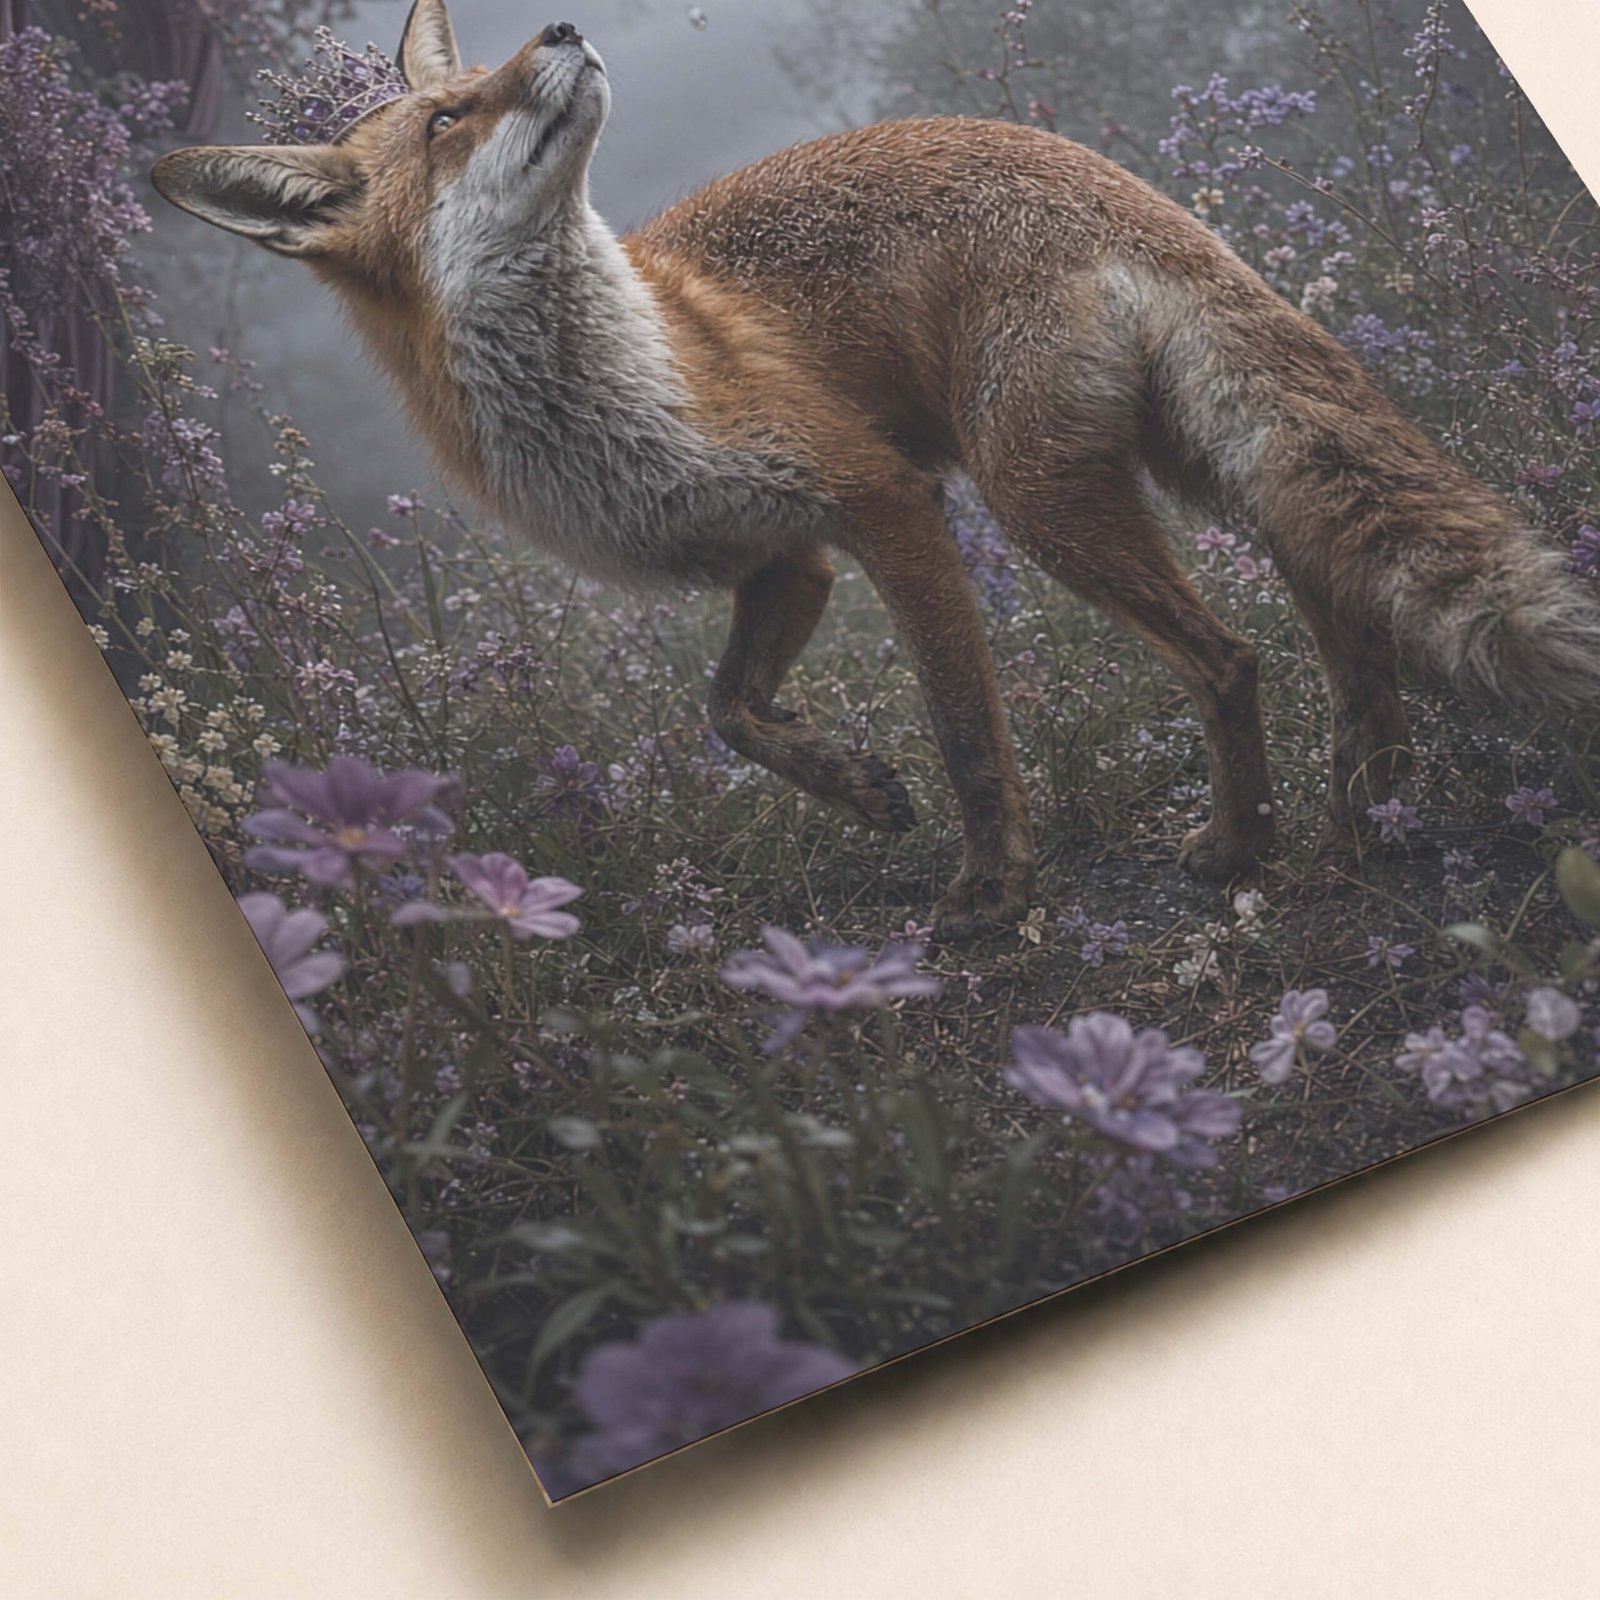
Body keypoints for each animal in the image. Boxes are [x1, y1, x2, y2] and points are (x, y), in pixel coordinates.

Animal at [152, 2, 1600, 938]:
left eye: (488, 78)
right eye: (455, 113)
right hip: (1193, 470)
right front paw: (855, 787)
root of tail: (1098, 172)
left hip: (1035, 496)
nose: (556, 27)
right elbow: (726, 714)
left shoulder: (886, 501)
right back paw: (1364, 822)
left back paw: (1252, 844)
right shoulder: (780, 555)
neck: (629, 385)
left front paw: (993, 890)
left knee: (1229, 657)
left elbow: (963, 729)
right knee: (1344, 625)